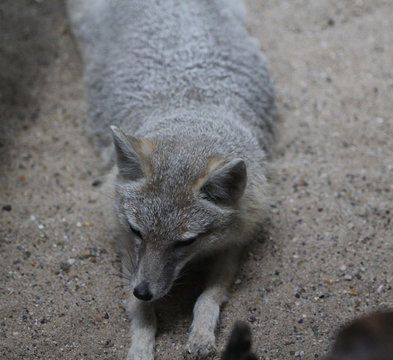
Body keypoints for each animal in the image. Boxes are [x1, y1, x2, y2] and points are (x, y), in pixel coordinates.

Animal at [67, 0, 274, 358]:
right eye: (138, 231)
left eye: (185, 242)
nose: (144, 291)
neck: (189, 107)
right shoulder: (125, 245)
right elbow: (141, 315)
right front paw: (140, 346)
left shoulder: (236, 240)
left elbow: (208, 297)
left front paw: (201, 334)